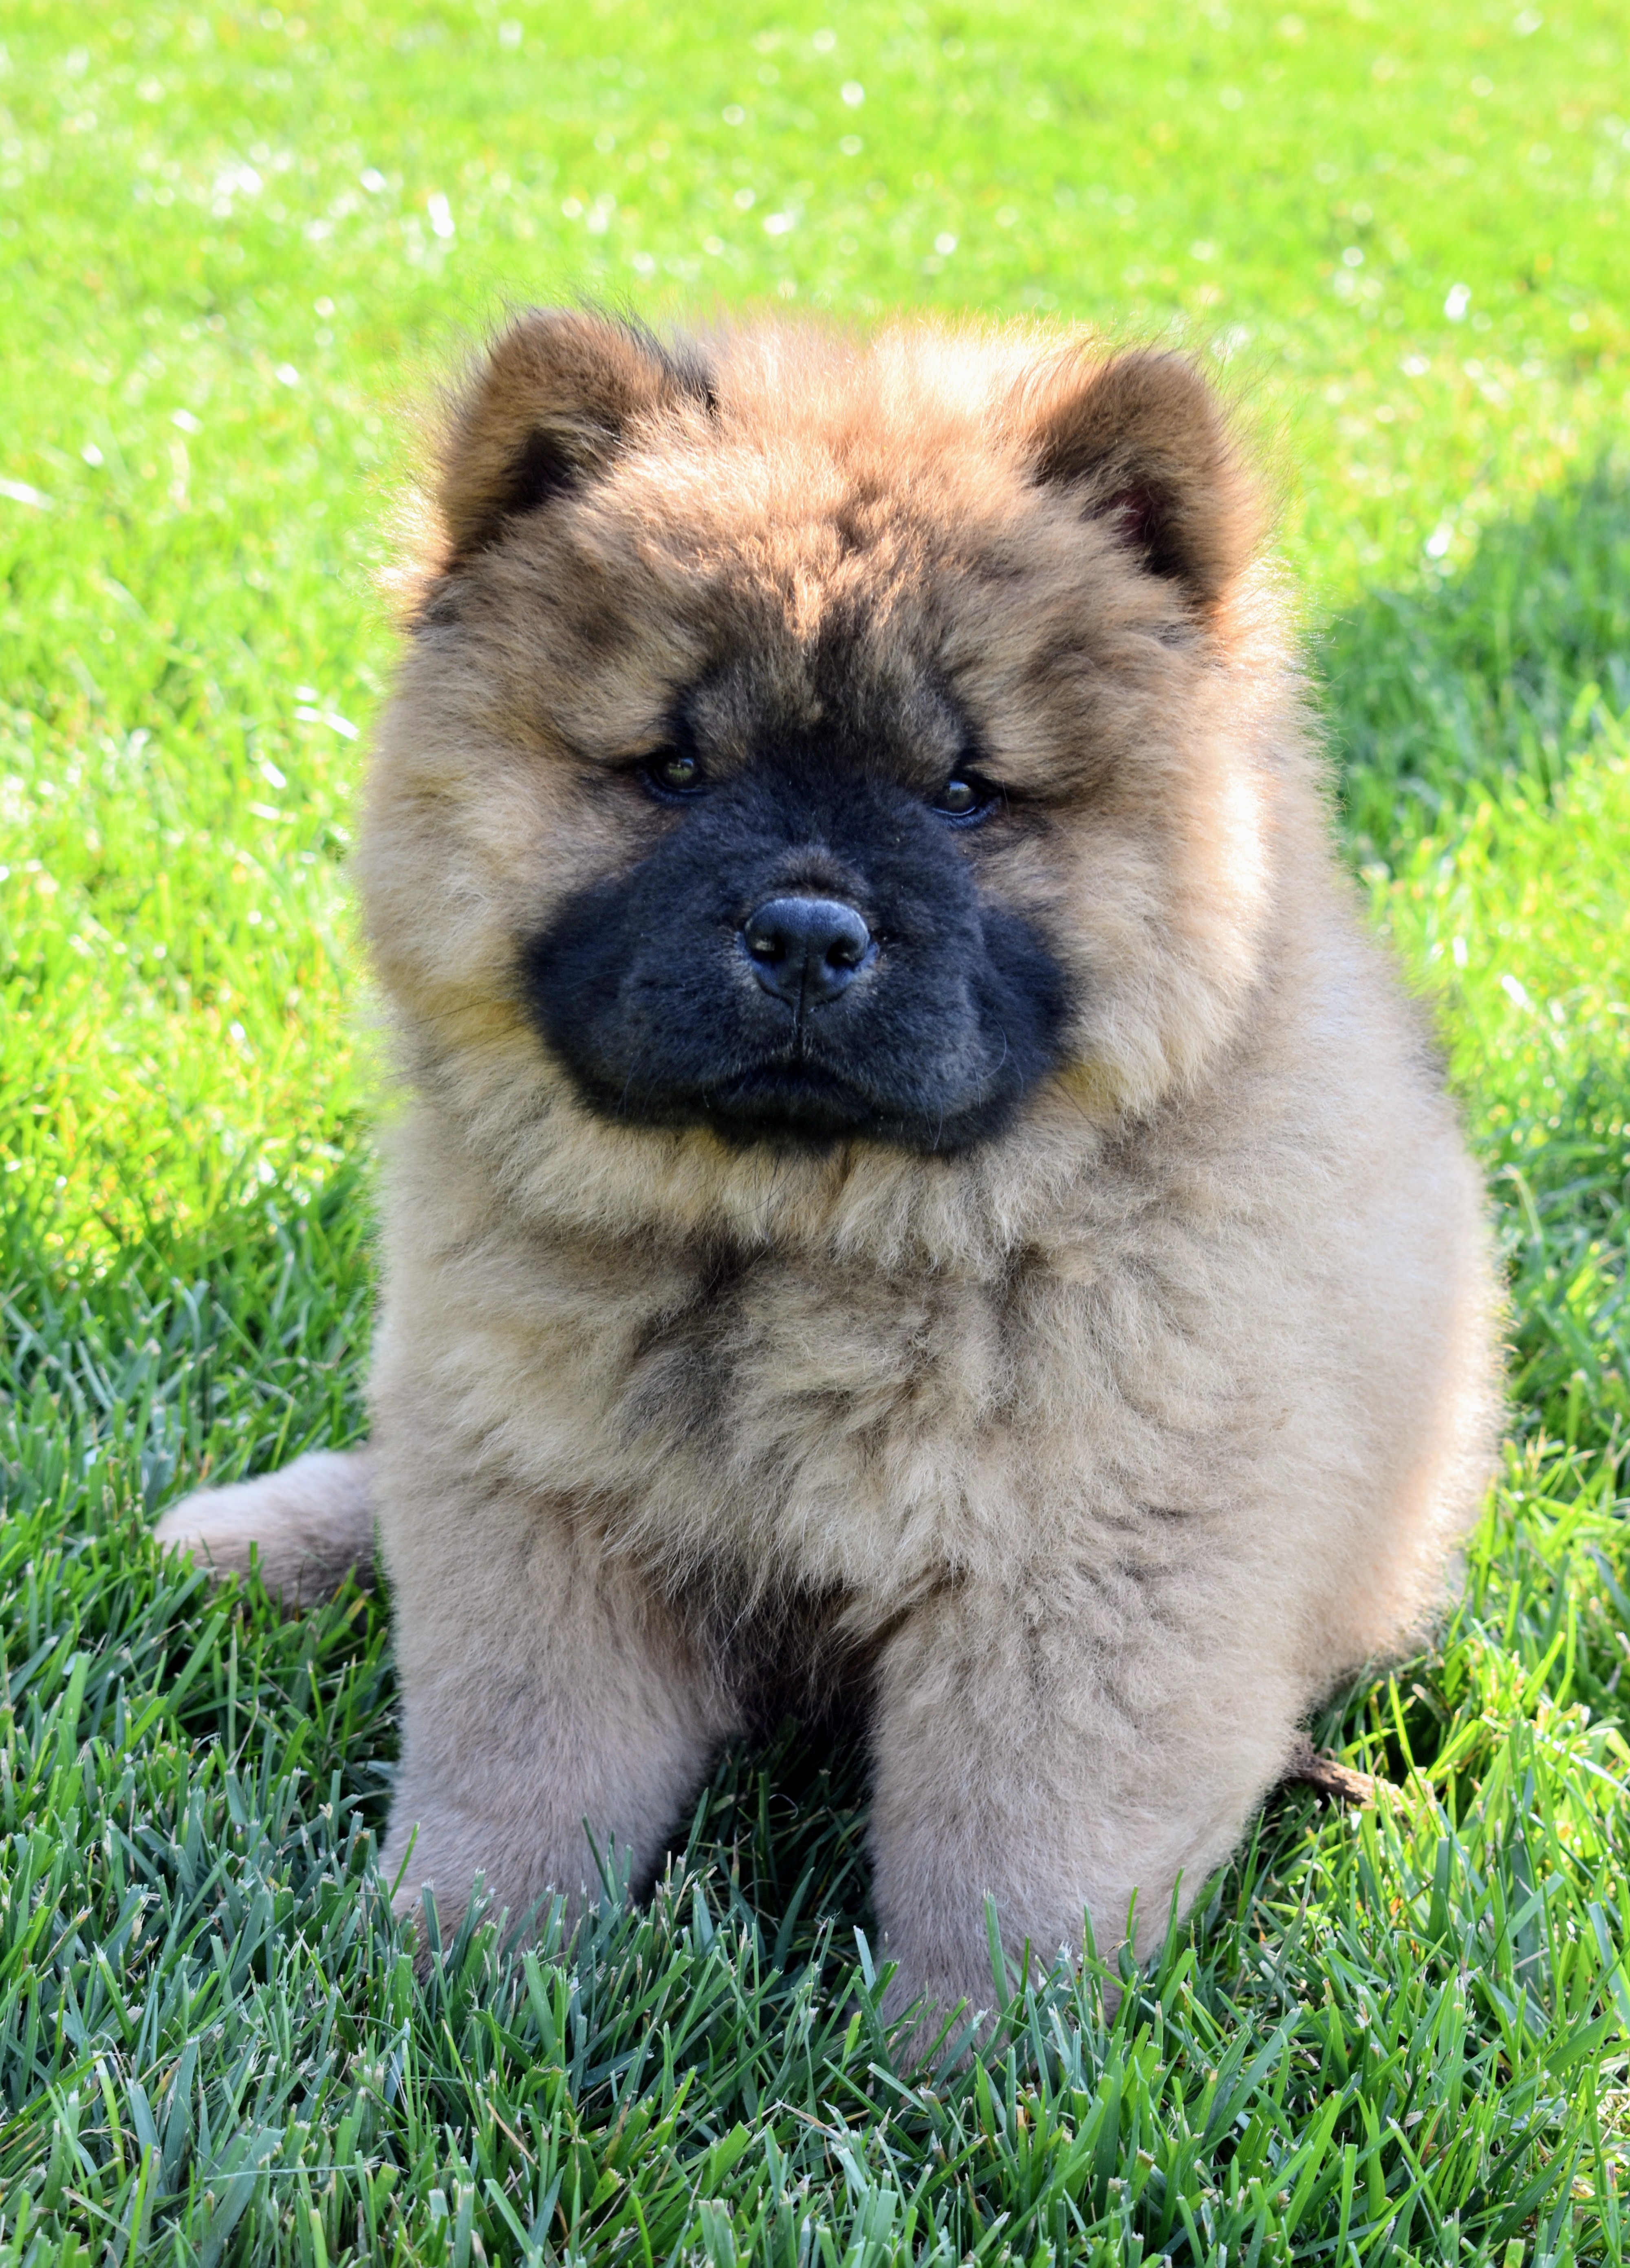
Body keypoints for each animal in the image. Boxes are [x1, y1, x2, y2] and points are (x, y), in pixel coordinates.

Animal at [156, 310, 1505, 2032]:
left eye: (964, 792)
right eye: (673, 769)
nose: (806, 930)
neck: (801, 1240)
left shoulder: (1087, 1561)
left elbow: (1018, 1845)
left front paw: (975, 2066)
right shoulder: (538, 1501)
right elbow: (517, 1765)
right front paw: (450, 1973)